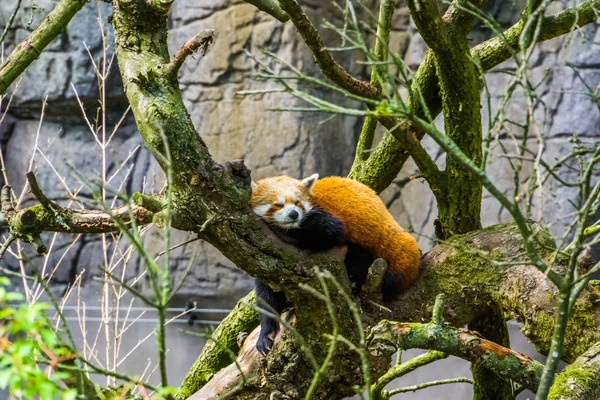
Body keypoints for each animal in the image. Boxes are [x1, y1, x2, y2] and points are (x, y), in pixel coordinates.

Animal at [248, 173, 422, 354]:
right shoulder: (269, 262)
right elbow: (267, 296)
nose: (293, 214)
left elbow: (330, 231)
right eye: (278, 204)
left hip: (392, 252)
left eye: (297, 202)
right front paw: (266, 335)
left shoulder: (326, 217)